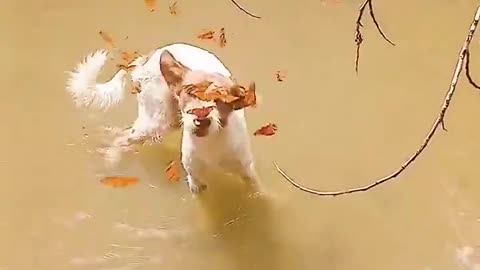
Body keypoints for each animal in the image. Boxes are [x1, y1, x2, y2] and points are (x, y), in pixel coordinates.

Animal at [66, 42, 260, 194]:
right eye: (189, 91)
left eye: (221, 98)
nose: (201, 117)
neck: (211, 143)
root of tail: (145, 59)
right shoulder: (195, 182)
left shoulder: (247, 172)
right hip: (158, 122)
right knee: (121, 138)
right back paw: (111, 161)